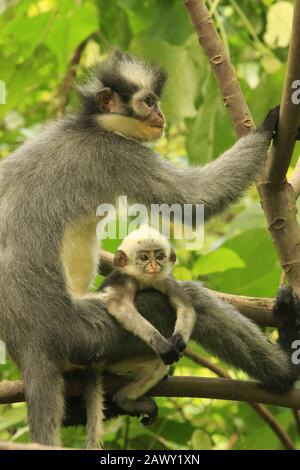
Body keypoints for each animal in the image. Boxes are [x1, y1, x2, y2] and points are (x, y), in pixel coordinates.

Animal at [99, 226, 196, 420]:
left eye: (159, 256)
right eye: (144, 257)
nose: (154, 266)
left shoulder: (166, 280)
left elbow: (186, 308)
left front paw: (178, 340)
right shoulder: (124, 279)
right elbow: (119, 306)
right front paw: (161, 344)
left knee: (158, 364)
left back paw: (124, 400)